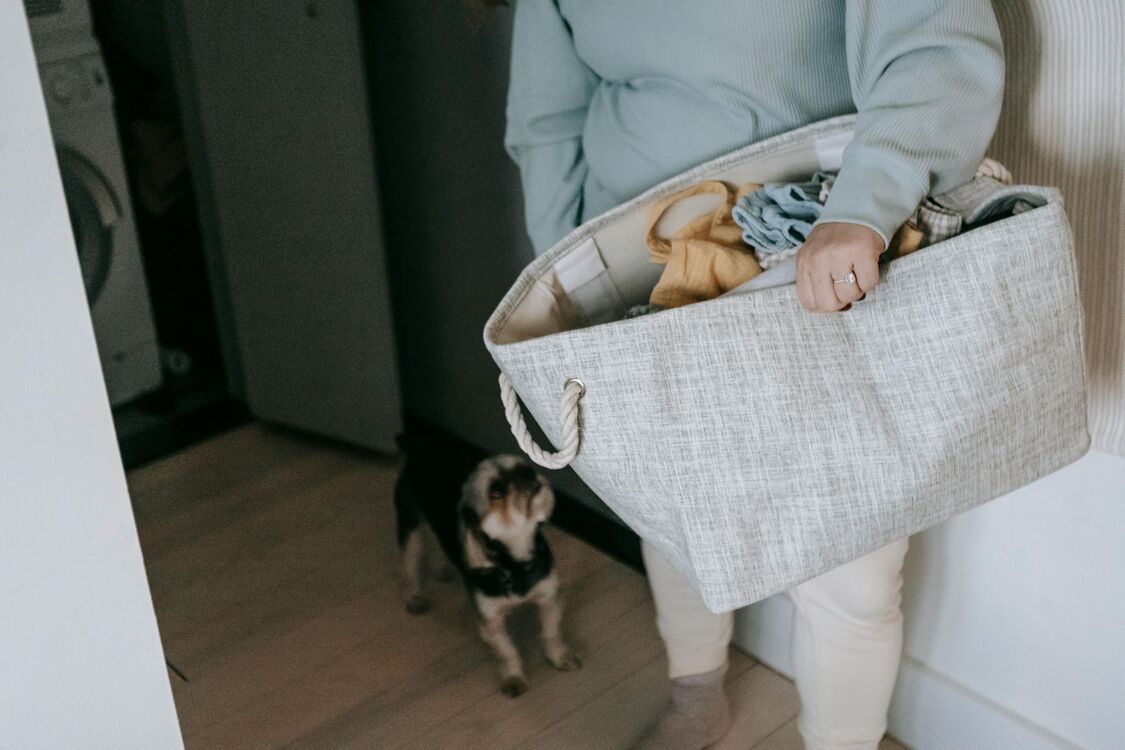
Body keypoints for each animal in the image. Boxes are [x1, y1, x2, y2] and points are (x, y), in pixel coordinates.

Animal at [391, 440, 580, 697]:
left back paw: (442, 569)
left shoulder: (548, 596)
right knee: (410, 563)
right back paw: (414, 596)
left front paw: (559, 657)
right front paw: (513, 678)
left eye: (523, 466)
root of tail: (418, 446)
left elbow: (552, 632)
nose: (528, 473)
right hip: (410, 524)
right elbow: (507, 651)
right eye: (496, 490)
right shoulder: (490, 621)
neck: (514, 564)